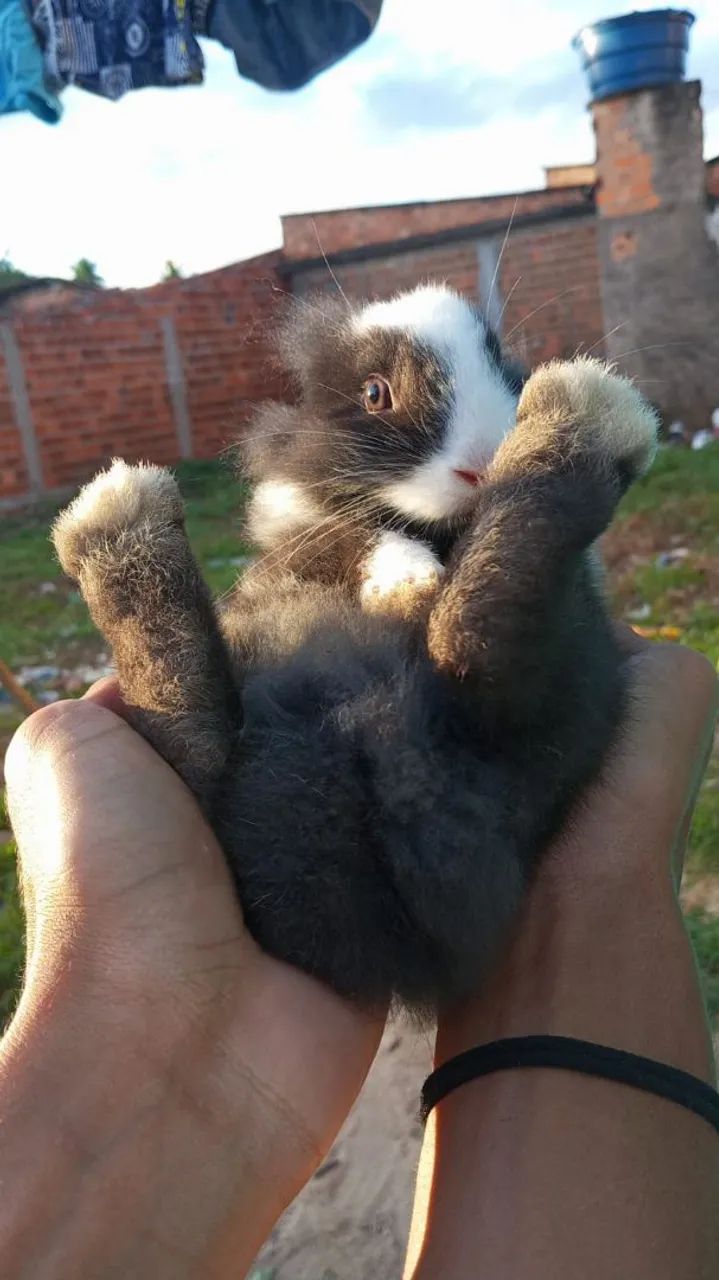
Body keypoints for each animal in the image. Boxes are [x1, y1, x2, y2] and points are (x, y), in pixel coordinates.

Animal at [52, 285, 658, 1016]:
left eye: (503, 363)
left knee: (481, 633)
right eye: (374, 393)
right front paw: (405, 585)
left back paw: (587, 410)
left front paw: (411, 590)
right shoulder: (297, 523)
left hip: (541, 714)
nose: (483, 464)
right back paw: (115, 513)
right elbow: (358, 540)